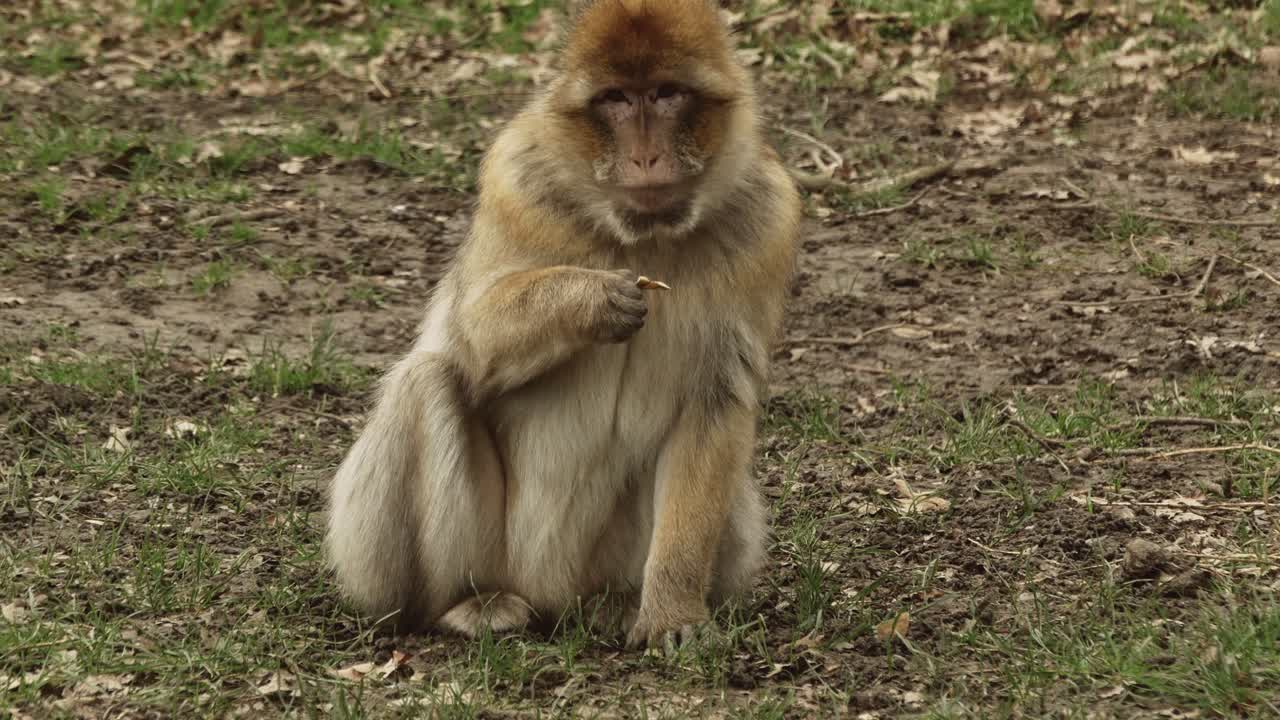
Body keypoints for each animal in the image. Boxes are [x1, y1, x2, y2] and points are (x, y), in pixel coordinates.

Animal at [325, 0, 802, 652]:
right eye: (616, 100)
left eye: (668, 94)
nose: (646, 156)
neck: (645, 237)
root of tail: (555, 600)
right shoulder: (516, 182)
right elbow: (473, 334)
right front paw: (593, 299)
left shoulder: (769, 220)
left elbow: (715, 402)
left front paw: (673, 611)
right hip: (461, 560)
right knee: (428, 379)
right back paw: (464, 605)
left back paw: (618, 603)